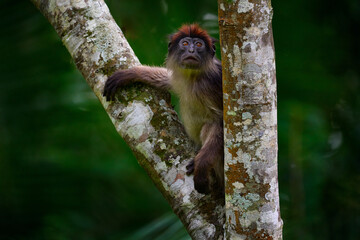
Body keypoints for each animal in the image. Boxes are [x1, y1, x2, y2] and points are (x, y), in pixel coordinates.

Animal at [102, 23, 224, 194]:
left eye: (199, 45)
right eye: (185, 43)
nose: (191, 51)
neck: (193, 78)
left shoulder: (215, 81)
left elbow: (223, 122)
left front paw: (201, 165)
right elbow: (166, 79)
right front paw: (131, 73)